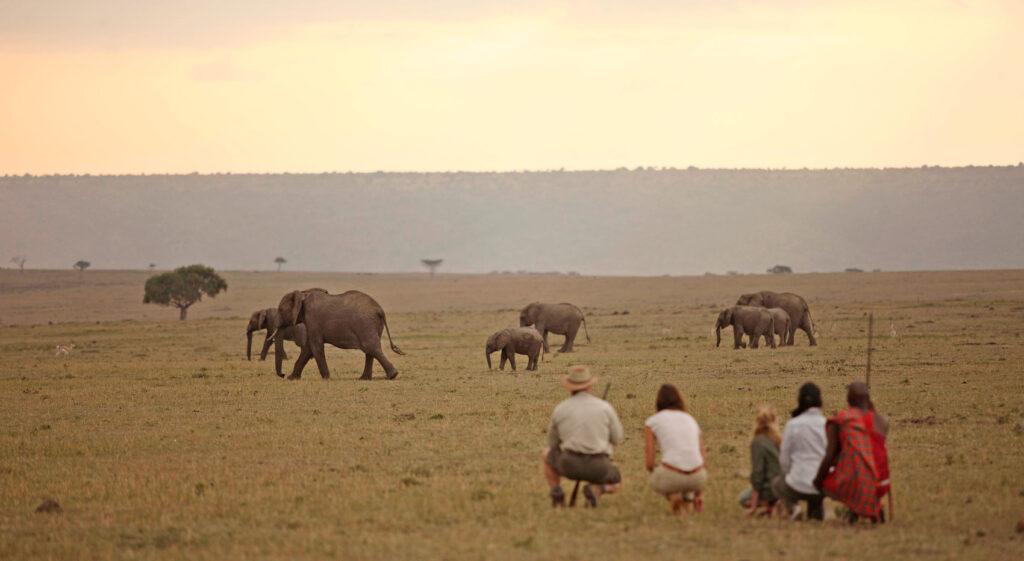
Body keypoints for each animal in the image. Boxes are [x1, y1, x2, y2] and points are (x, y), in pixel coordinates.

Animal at [271, 289, 404, 380]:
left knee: (371, 347)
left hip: (365, 324)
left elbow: (315, 346)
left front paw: (326, 378)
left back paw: (392, 376)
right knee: (370, 350)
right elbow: (308, 348)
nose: (282, 375)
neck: (303, 293)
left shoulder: (313, 319)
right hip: (372, 324)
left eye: (280, 310)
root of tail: (380, 310)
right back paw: (364, 378)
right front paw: (292, 378)